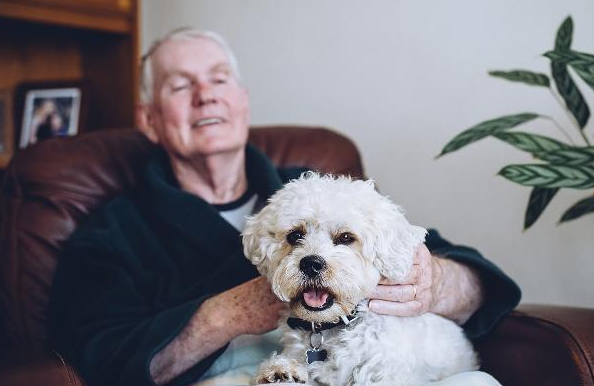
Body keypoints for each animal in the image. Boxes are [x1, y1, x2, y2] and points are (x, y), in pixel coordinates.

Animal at [240, 173, 490, 386]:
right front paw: (282, 370)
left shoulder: (383, 374)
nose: (311, 263)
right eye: (295, 235)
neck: (330, 327)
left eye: (346, 237)